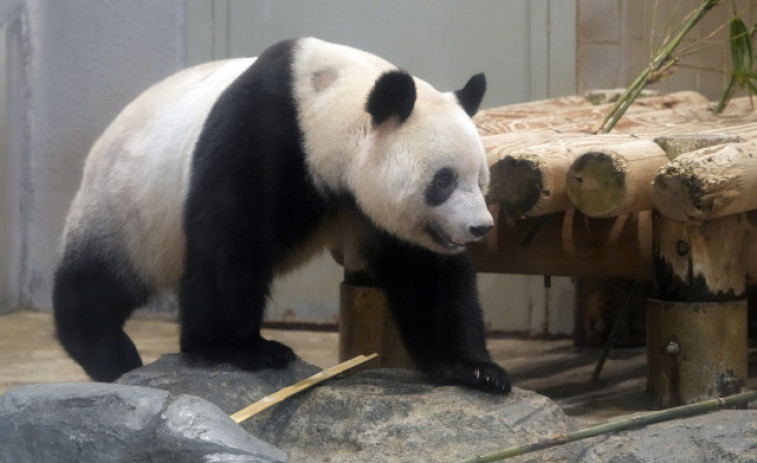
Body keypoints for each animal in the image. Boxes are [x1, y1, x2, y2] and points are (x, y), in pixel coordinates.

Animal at [54, 39, 508, 396]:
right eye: (443, 181)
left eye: (480, 179)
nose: (479, 227)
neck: (323, 104)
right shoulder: (263, 134)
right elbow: (229, 245)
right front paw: (237, 349)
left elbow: (429, 277)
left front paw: (475, 370)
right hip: (125, 210)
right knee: (95, 285)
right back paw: (109, 352)